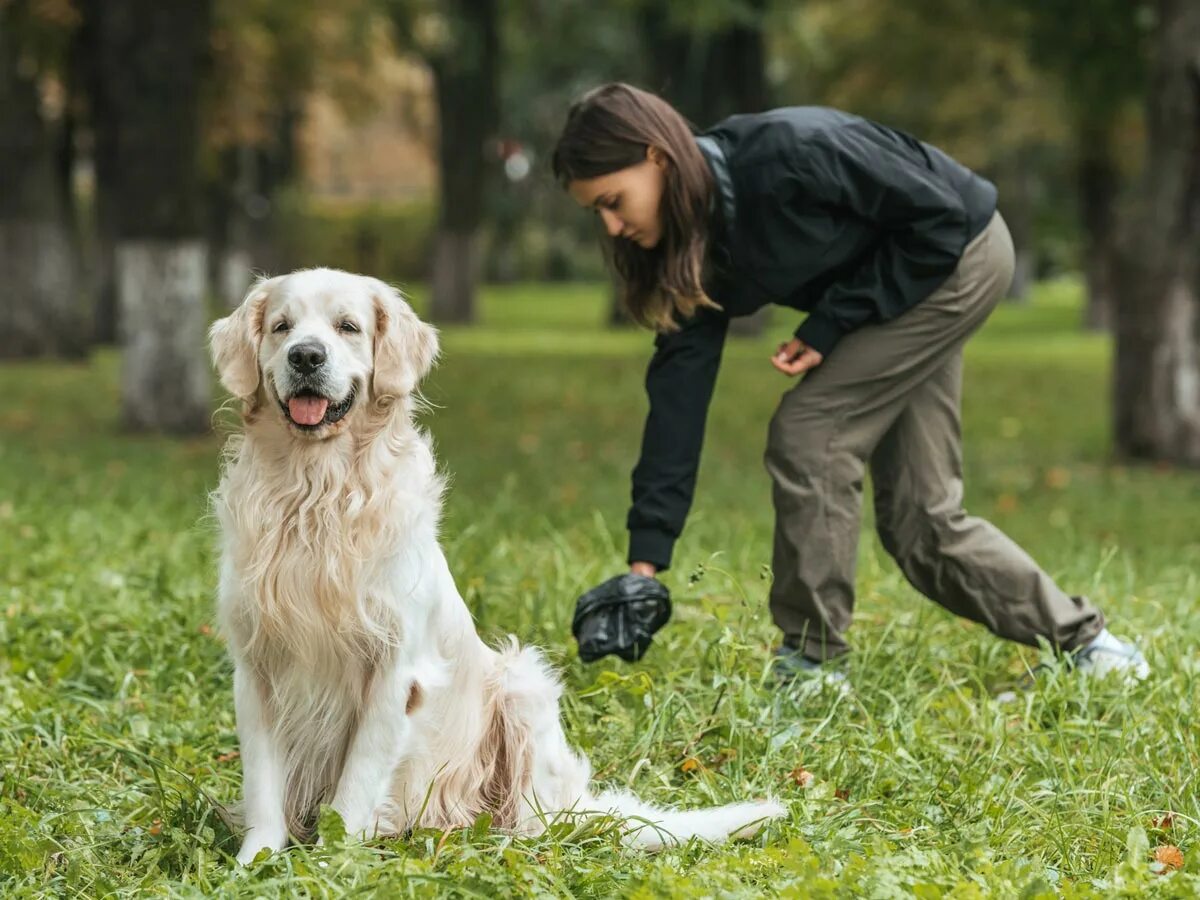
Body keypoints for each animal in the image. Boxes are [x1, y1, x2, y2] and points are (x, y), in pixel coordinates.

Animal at [208, 270, 787, 868]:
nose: (305, 356)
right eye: (282, 327)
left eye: (348, 326)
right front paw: (255, 864)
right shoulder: (256, 666)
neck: (315, 493)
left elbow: (354, 788)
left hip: (522, 685)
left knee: (538, 822)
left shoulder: (395, 670)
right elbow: (264, 787)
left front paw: (326, 864)